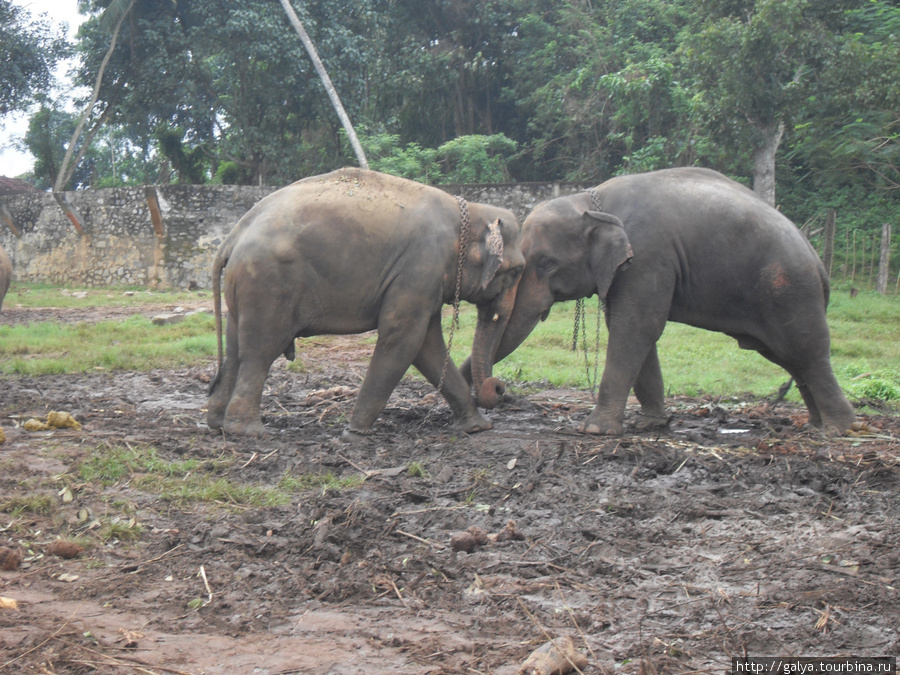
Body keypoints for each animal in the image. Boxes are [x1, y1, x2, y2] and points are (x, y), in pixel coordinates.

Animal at [207, 169, 524, 440]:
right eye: (518, 271)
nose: (498, 387)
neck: (468, 211)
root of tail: (233, 236)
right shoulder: (422, 266)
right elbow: (402, 340)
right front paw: (353, 436)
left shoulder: (425, 280)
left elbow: (427, 346)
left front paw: (477, 428)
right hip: (267, 284)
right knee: (259, 353)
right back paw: (249, 432)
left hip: (243, 288)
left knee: (235, 350)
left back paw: (218, 424)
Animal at [468, 166, 856, 436]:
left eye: (547, 263)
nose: (498, 388)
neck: (591, 202)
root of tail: (819, 263)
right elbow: (634, 330)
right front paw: (649, 424)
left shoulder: (648, 257)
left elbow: (636, 327)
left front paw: (594, 430)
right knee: (789, 357)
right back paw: (818, 425)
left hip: (790, 290)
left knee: (806, 351)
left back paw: (838, 429)